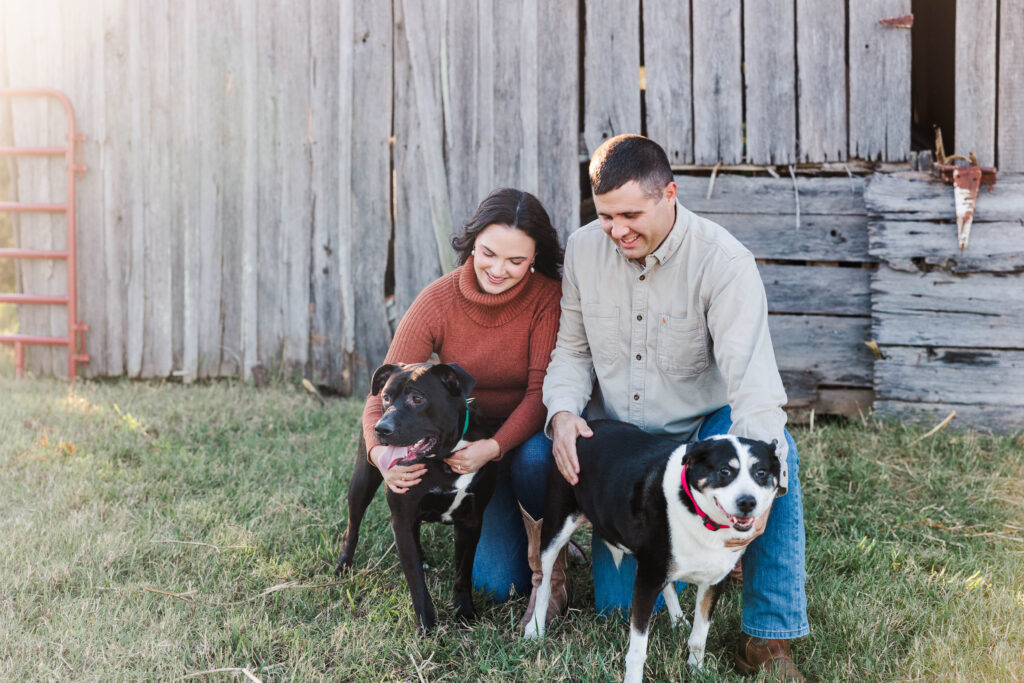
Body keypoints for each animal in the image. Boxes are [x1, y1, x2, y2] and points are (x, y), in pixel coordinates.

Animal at [333, 362, 497, 634]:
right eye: (386, 397)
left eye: (417, 399)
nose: (381, 429)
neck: (443, 461)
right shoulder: (401, 517)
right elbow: (416, 581)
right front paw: (427, 625)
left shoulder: (471, 521)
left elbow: (463, 573)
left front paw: (465, 613)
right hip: (361, 482)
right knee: (352, 528)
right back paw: (342, 567)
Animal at [524, 419, 778, 679]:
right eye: (725, 471)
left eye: (761, 473)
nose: (747, 502)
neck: (699, 513)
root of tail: (587, 425)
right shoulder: (647, 581)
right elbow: (638, 650)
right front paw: (633, 679)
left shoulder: (713, 582)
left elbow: (699, 637)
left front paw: (696, 670)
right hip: (557, 525)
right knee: (544, 581)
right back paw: (536, 628)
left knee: (668, 586)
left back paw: (679, 622)